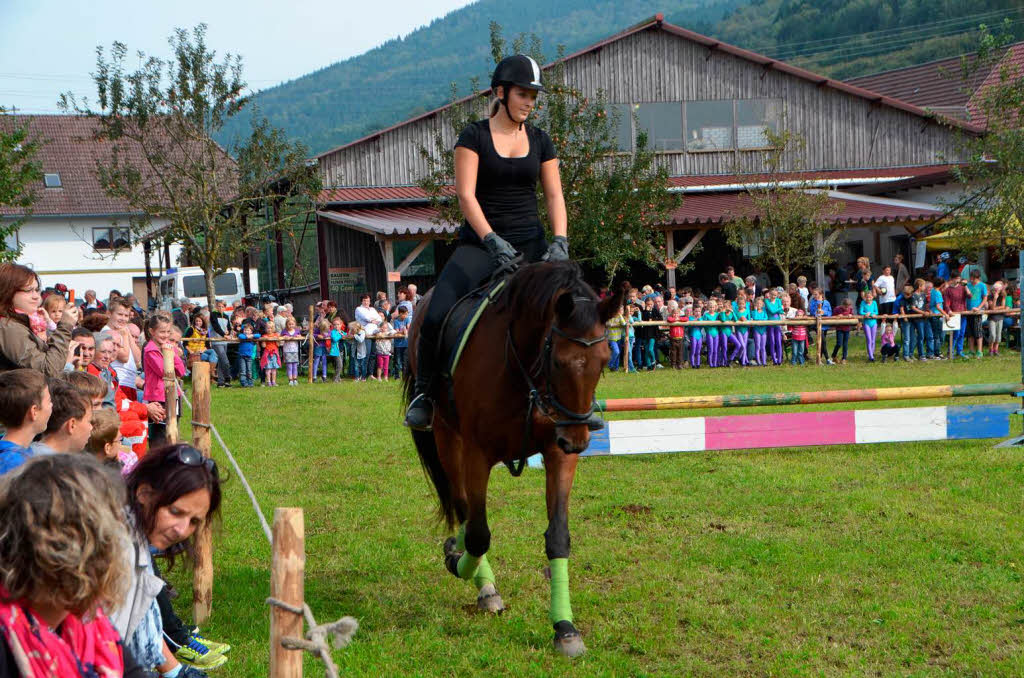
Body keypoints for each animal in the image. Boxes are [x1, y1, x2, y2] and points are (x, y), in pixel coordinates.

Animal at [403, 261, 618, 659]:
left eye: (605, 360)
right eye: (558, 361)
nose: (578, 440)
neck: (524, 373)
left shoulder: (557, 452)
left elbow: (558, 536)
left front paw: (565, 628)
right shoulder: (477, 453)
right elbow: (479, 535)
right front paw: (465, 568)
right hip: (446, 435)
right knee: (463, 507)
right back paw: (478, 578)